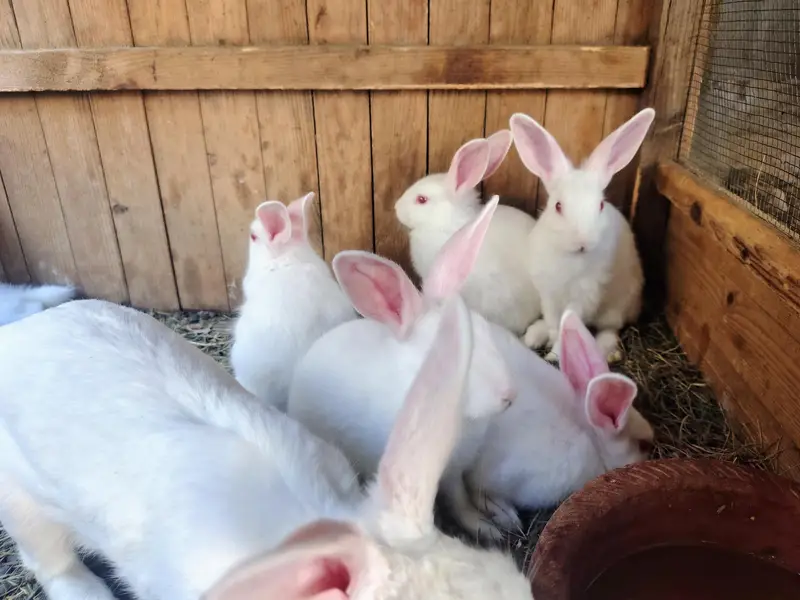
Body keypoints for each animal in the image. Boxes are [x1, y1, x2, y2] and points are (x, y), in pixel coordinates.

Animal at [288, 196, 519, 543]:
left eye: (484, 328)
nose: (508, 395)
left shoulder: (459, 469)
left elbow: (464, 495)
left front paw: (494, 519)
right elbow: (455, 502)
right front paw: (485, 529)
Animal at [467, 309, 655, 518]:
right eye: (643, 445)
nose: (653, 442)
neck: (588, 434)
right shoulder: (496, 474)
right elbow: (476, 489)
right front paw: (503, 514)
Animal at [509, 108, 656, 363]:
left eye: (600, 206)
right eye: (558, 206)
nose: (583, 242)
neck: (570, 258)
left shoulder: (584, 297)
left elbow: (568, 326)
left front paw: (556, 356)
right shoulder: (548, 294)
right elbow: (553, 324)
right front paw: (550, 347)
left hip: (617, 307)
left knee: (610, 328)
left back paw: (606, 350)